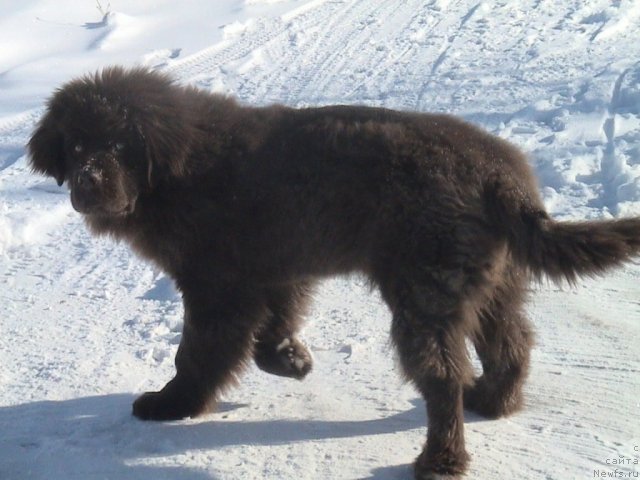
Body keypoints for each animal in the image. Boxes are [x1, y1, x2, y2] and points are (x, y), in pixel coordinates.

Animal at [27, 67, 640, 480]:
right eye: (76, 145)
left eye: (120, 144)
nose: (87, 182)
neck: (175, 172)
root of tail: (503, 175)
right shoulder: (275, 271)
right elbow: (269, 332)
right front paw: (292, 360)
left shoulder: (217, 283)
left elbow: (198, 353)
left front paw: (173, 404)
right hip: (490, 280)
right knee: (512, 341)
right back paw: (493, 400)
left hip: (425, 290)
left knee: (443, 376)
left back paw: (440, 458)